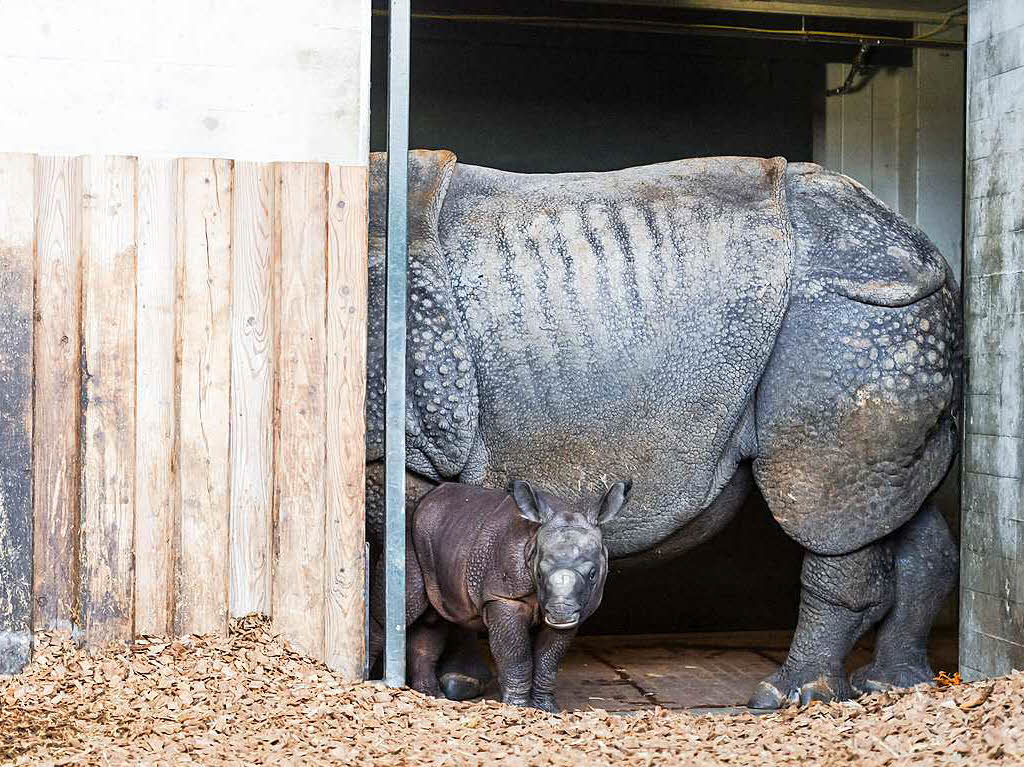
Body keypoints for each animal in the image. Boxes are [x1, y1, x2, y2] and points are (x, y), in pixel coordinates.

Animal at [364, 475, 626, 708]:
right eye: (539, 574)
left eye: (592, 574)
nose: (560, 614)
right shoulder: (503, 597)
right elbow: (515, 654)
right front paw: (518, 707)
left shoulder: (580, 607)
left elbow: (549, 659)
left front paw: (546, 708)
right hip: (405, 537)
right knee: (398, 611)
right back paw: (369, 681)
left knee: (431, 621)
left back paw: (432, 695)